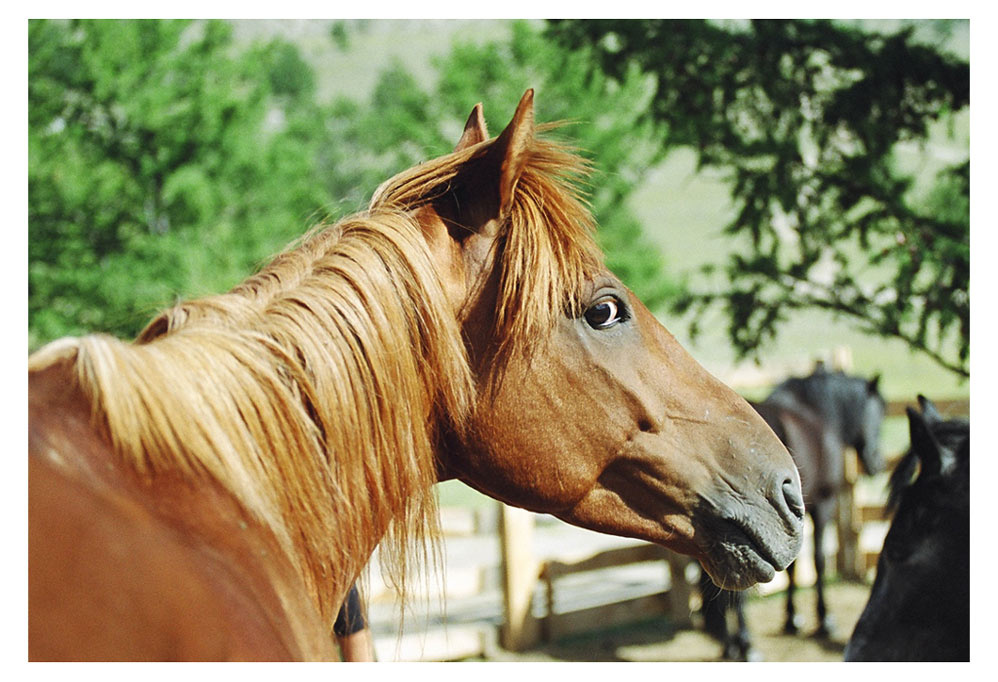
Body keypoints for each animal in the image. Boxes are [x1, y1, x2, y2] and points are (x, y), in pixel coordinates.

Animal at [698, 364, 884, 659]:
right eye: (879, 415)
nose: (878, 462)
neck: (817, 411)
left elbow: (793, 568)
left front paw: (792, 619)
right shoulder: (822, 505)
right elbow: (818, 561)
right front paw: (824, 620)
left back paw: (730, 645)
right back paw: (746, 645)